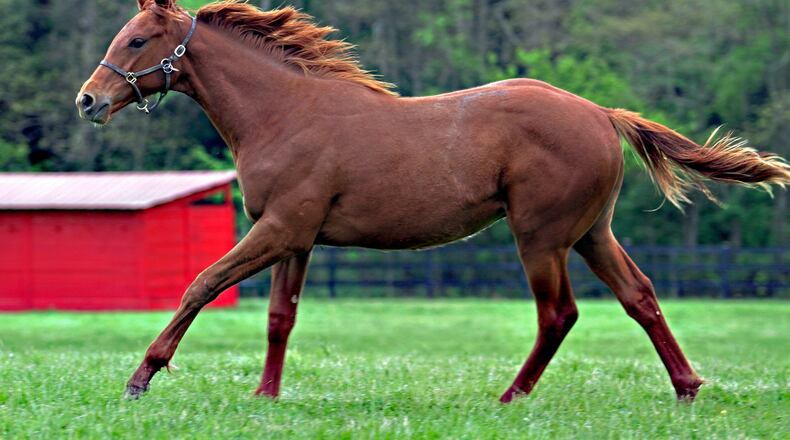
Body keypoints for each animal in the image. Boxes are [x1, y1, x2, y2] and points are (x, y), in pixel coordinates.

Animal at [76, 0, 790, 403]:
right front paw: (265, 396)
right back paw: (687, 387)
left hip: (541, 238)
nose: (88, 100)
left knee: (558, 314)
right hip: (592, 234)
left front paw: (142, 376)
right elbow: (280, 316)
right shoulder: (297, 238)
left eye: (137, 40)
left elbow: (201, 283)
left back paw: (509, 397)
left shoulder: (280, 230)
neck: (283, 113)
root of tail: (600, 113)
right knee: (639, 296)